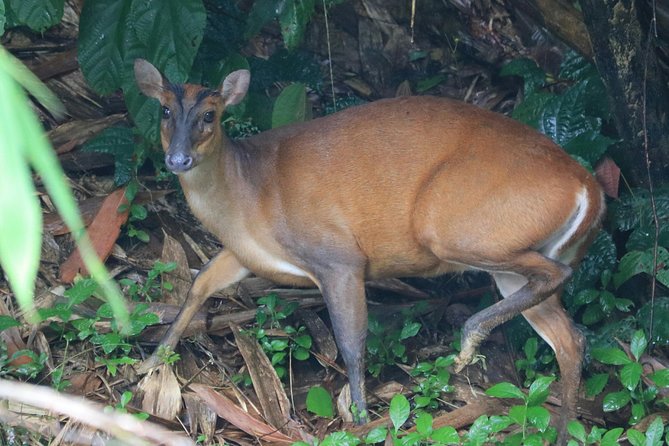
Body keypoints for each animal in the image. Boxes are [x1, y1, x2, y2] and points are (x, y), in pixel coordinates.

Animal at [133, 58, 604, 442]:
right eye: (164, 110)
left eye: (209, 115)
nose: (177, 160)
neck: (248, 194)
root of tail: (589, 187)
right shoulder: (243, 254)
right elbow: (199, 284)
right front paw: (148, 363)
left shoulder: (337, 256)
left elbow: (351, 341)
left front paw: (359, 419)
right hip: (512, 256)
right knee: (570, 338)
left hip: (454, 227)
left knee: (557, 282)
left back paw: (468, 341)